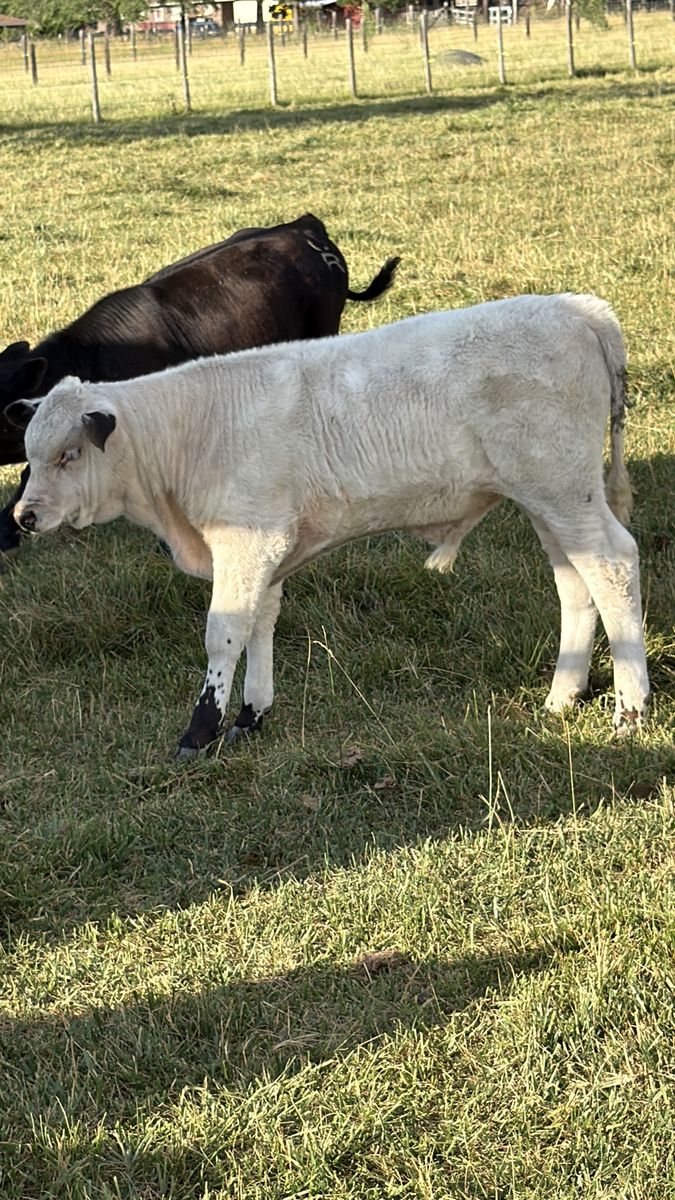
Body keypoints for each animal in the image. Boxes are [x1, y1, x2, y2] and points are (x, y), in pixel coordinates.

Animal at [14, 293, 651, 758]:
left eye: (69, 454)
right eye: (29, 454)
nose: (25, 515)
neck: (192, 429)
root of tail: (580, 309)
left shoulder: (247, 541)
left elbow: (224, 632)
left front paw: (199, 733)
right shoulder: (268, 549)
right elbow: (260, 623)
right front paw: (250, 716)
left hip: (565, 491)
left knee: (613, 566)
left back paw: (631, 709)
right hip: (549, 504)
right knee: (577, 584)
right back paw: (563, 696)